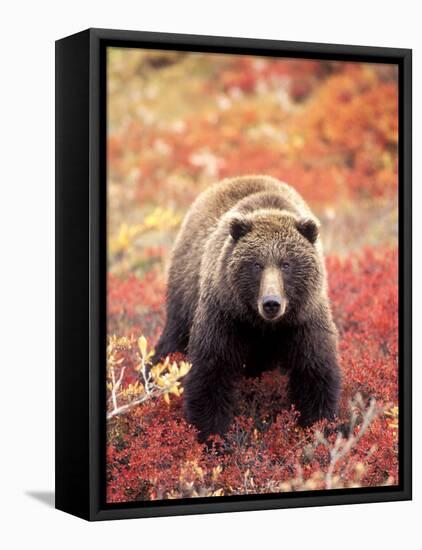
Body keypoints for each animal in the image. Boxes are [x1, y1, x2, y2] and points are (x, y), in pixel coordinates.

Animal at [153, 177, 342, 444]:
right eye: (256, 264)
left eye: (286, 264)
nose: (271, 302)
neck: (263, 325)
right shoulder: (225, 315)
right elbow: (210, 373)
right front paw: (213, 437)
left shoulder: (303, 320)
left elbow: (315, 373)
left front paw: (318, 430)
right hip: (185, 292)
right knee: (172, 341)